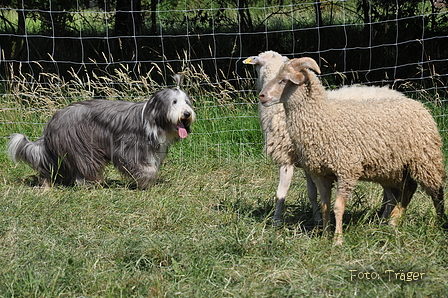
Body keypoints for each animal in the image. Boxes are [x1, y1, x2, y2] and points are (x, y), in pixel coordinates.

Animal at [8, 74, 194, 189]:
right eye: (174, 102)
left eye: (186, 102)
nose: (187, 113)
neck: (153, 118)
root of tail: (53, 120)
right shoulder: (128, 147)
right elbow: (147, 169)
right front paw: (145, 181)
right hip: (81, 145)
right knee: (83, 167)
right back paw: (90, 184)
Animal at [245, 51, 416, 226]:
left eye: (284, 79)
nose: (261, 94)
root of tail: (400, 94)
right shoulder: (309, 163)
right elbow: (313, 193)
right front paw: (317, 219)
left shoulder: (287, 158)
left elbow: (281, 193)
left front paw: (276, 221)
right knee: (390, 191)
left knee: (391, 193)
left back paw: (384, 218)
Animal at [258, 57, 446, 243]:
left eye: (284, 80)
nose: (262, 96)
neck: (323, 117)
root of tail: (418, 105)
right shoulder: (320, 173)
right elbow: (325, 205)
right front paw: (325, 234)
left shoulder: (346, 170)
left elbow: (337, 207)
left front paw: (338, 240)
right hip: (393, 168)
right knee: (409, 188)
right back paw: (393, 222)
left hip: (425, 159)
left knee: (436, 192)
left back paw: (438, 223)